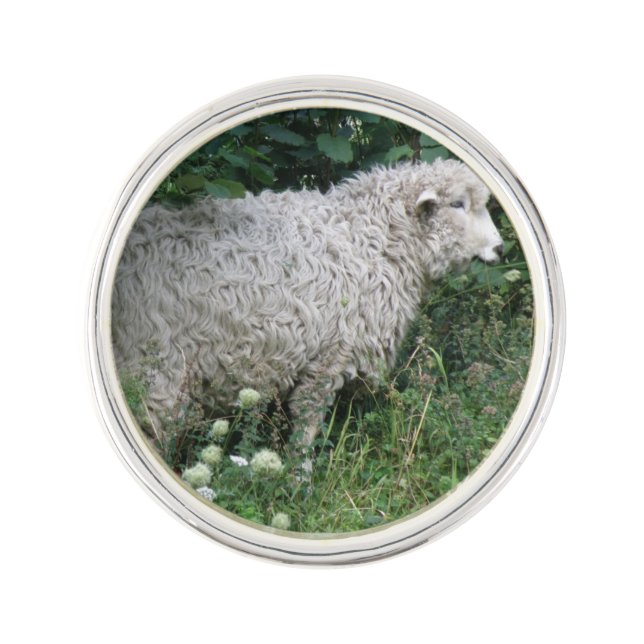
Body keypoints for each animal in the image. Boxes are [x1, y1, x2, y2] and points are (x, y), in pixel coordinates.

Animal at [111, 159, 503, 449]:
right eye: (457, 205)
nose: (500, 248)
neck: (372, 238)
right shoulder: (330, 354)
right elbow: (307, 422)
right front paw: (299, 481)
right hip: (157, 361)